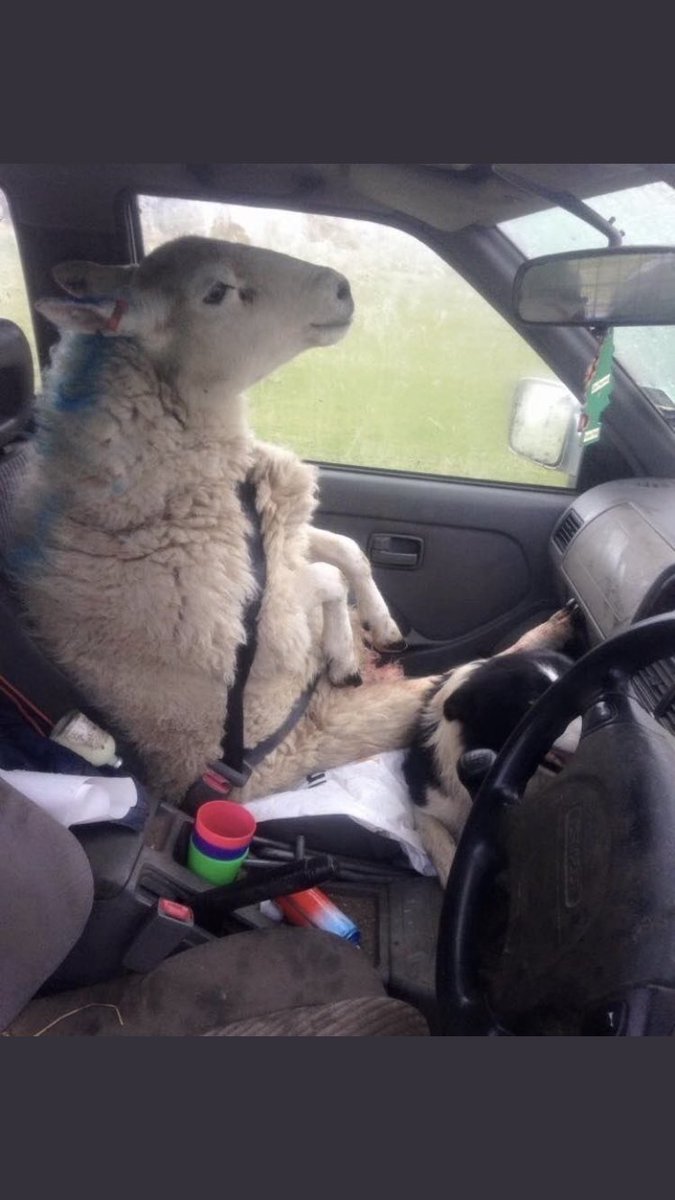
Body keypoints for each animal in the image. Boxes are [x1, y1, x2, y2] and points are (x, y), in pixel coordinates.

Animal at [11, 236, 431, 806]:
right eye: (215, 292)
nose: (342, 288)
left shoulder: (275, 534)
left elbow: (349, 550)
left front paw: (380, 624)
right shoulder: (256, 620)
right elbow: (329, 577)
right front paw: (343, 653)